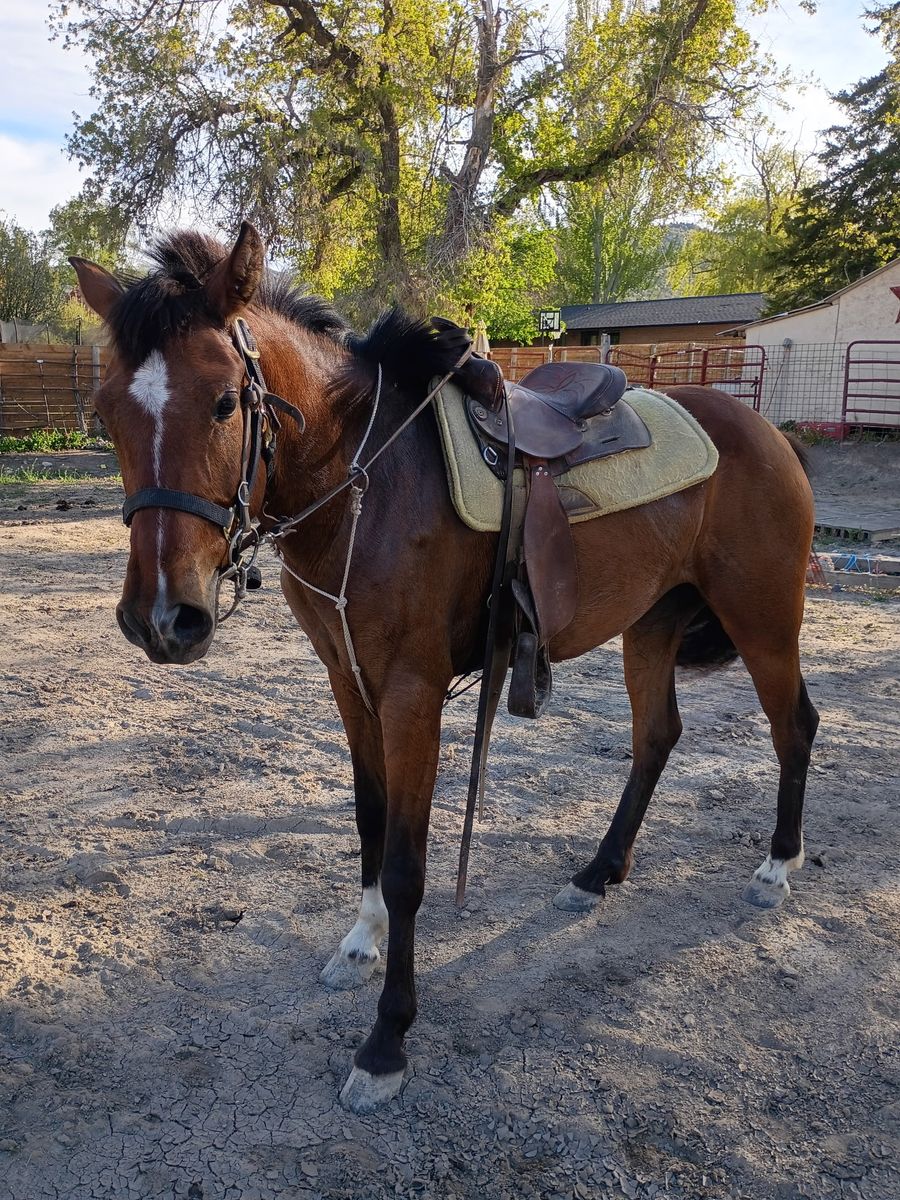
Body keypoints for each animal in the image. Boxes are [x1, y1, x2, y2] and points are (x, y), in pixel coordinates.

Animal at [70, 223, 819, 1114]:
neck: (366, 484)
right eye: (108, 411)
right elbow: (369, 821)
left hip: (762, 617)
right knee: (656, 738)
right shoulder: (348, 680)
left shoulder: (410, 694)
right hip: (651, 625)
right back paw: (599, 872)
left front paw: (387, 1039)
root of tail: (765, 430)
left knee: (793, 726)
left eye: (224, 401)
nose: (161, 617)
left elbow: (405, 867)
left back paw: (776, 868)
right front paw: (359, 944)